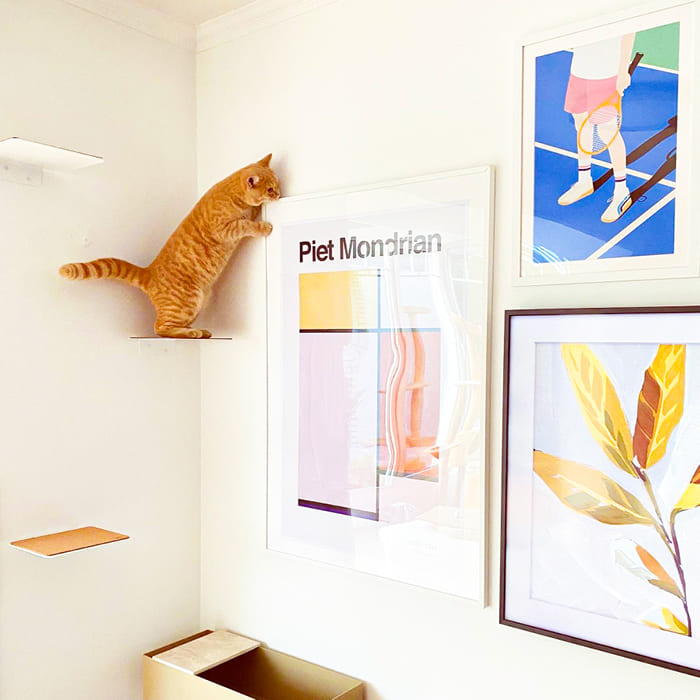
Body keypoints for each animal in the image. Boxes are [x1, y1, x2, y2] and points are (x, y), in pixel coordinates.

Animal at [60, 154, 280, 338]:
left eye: (277, 185)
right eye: (270, 189)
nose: (279, 194)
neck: (231, 191)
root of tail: (148, 271)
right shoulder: (225, 229)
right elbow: (245, 224)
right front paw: (263, 226)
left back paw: (198, 330)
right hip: (187, 301)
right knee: (160, 328)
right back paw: (193, 333)